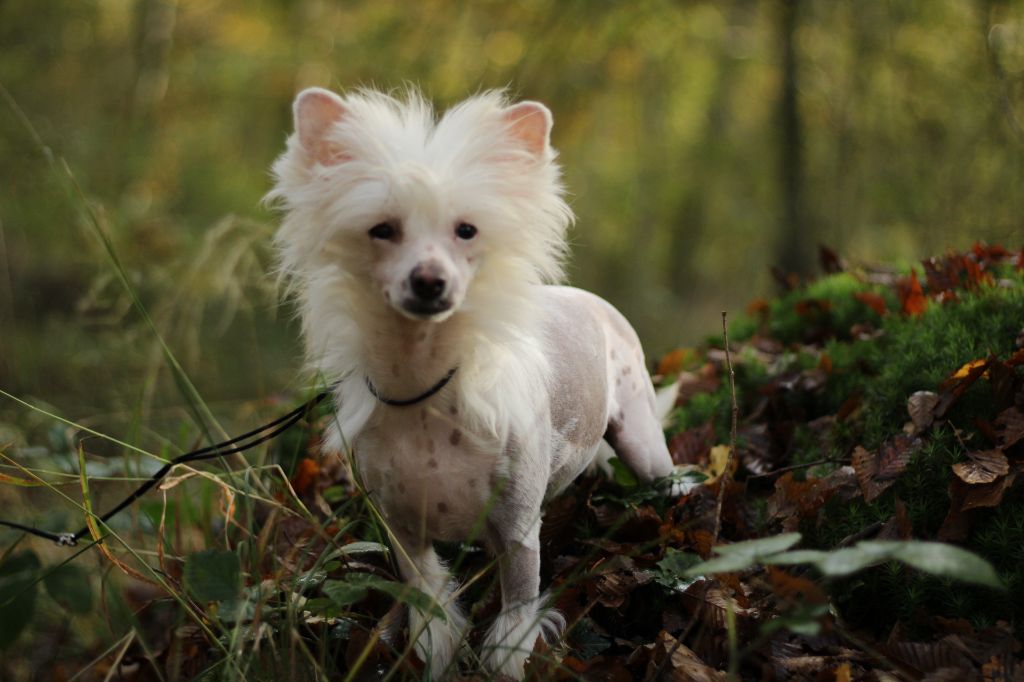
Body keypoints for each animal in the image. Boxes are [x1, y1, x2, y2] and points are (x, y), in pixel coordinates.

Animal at [268, 84, 675, 675]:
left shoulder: (518, 532)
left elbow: (516, 617)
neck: (425, 391)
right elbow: (432, 609)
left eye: (467, 230)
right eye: (382, 230)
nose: (429, 281)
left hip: (643, 445)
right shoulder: (403, 532)